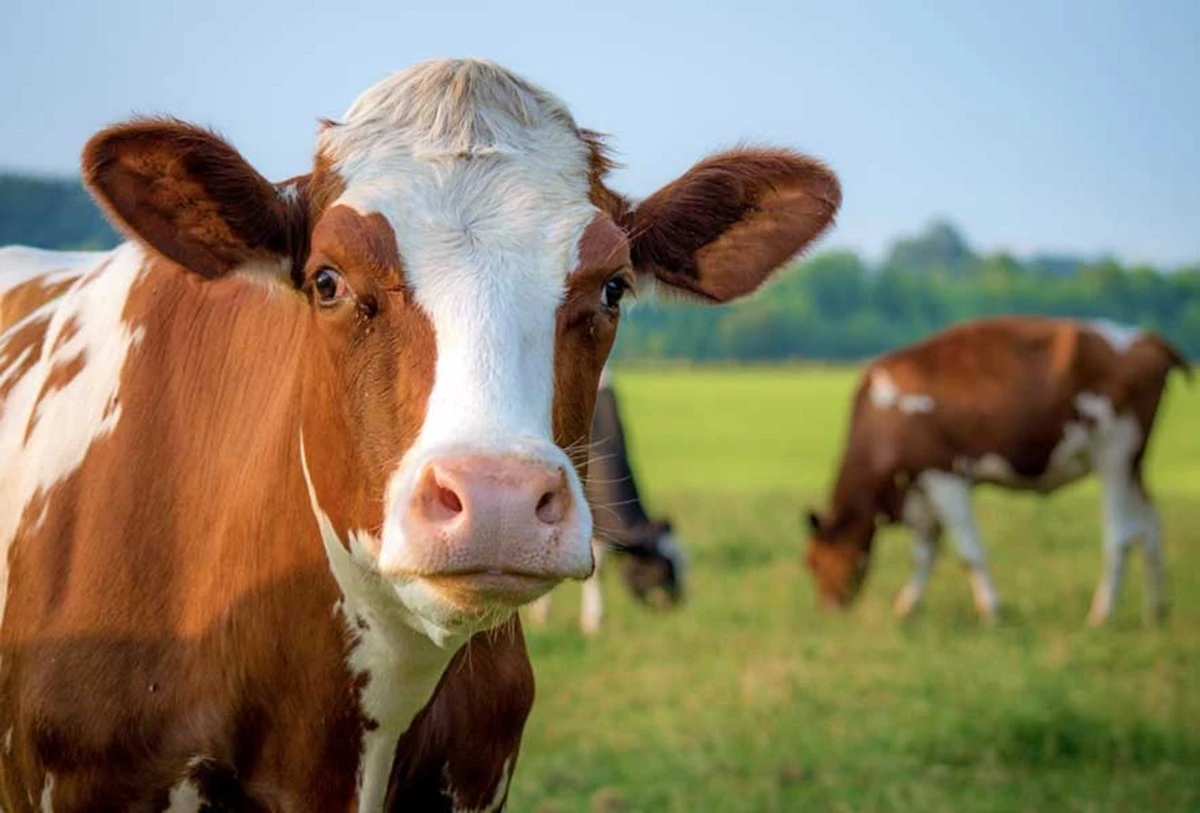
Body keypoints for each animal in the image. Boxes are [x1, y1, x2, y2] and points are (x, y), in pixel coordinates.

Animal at [804, 316, 1188, 627]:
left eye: (813, 561)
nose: (828, 610)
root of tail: (1147, 338)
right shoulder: (920, 488)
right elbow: (925, 553)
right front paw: (907, 607)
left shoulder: (944, 475)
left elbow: (968, 551)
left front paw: (992, 613)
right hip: (1134, 463)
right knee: (1151, 527)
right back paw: (1156, 612)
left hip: (1113, 453)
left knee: (1121, 535)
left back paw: (1101, 616)